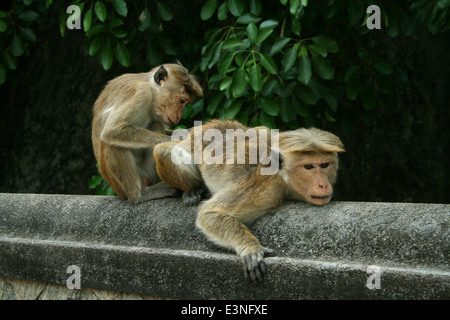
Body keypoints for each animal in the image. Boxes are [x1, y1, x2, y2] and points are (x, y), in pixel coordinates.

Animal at [91, 62, 202, 202]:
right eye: (182, 100)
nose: (178, 116)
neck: (150, 88)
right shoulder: (140, 93)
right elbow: (112, 130)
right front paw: (182, 138)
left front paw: (190, 131)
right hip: (120, 187)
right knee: (110, 143)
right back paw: (140, 195)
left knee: (154, 124)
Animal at [153, 119, 346, 280]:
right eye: (308, 167)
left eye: (325, 165)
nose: (323, 185)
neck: (283, 177)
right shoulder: (265, 188)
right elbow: (210, 212)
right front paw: (251, 248)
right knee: (163, 151)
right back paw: (193, 190)